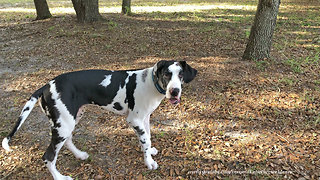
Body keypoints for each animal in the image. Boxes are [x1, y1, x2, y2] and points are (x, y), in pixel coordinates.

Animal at [1, 60, 198, 179]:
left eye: (180, 75)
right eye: (166, 74)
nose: (175, 91)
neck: (149, 82)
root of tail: (46, 86)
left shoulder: (145, 118)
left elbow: (147, 138)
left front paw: (150, 152)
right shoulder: (134, 120)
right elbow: (145, 141)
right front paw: (149, 162)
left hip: (70, 119)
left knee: (68, 141)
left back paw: (80, 155)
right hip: (63, 125)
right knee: (48, 156)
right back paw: (60, 177)